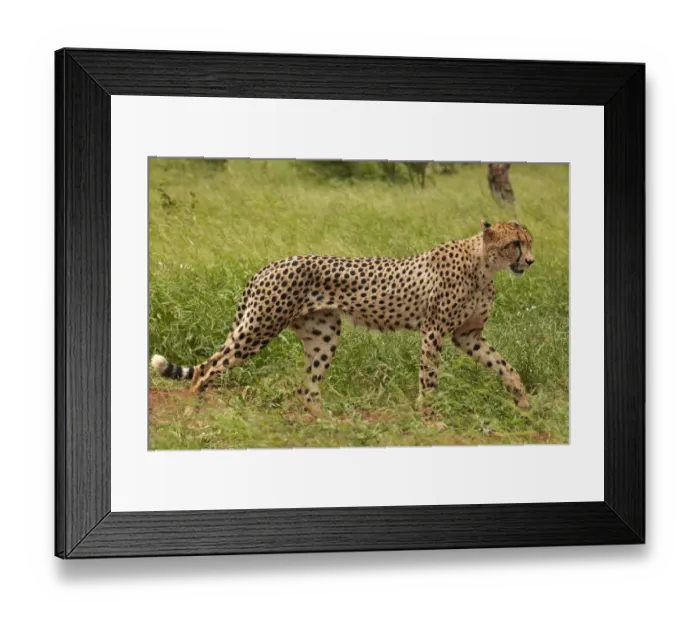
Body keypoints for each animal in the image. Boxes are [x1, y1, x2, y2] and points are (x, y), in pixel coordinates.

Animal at [151, 220, 536, 415]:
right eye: (516, 244)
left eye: (529, 242)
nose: (531, 262)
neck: (484, 265)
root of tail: (270, 264)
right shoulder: (434, 331)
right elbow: (429, 379)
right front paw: (431, 421)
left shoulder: (468, 336)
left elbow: (506, 366)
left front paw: (523, 402)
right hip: (260, 326)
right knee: (204, 369)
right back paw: (192, 416)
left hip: (323, 334)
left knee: (307, 391)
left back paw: (328, 428)